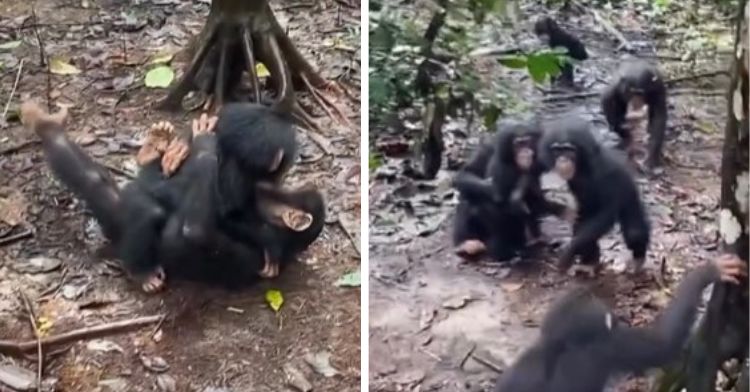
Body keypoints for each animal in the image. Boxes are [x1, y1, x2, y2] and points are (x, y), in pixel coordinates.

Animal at [21, 102, 324, 292]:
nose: (278, 181)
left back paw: (143, 273)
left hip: (118, 223)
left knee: (137, 207)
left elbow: (201, 230)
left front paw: (205, 143)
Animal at [452, 118, 576, 262]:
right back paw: (467, 244)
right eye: (518, 144)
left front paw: (517, 193)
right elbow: (466, 173)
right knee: (468, 196)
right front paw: (494, 188)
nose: (525, 152)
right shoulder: (488, 146)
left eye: (527, 142)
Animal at [540, 115, 652, 278]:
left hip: (629, 193)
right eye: (557, 150)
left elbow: (605, 214)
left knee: (634, 232)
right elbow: (582, 216)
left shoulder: (604, 174)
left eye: (568, 150)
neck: (582, 165)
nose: (562, 159)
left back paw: (638, 258)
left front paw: (569, 251)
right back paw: (589, 262)